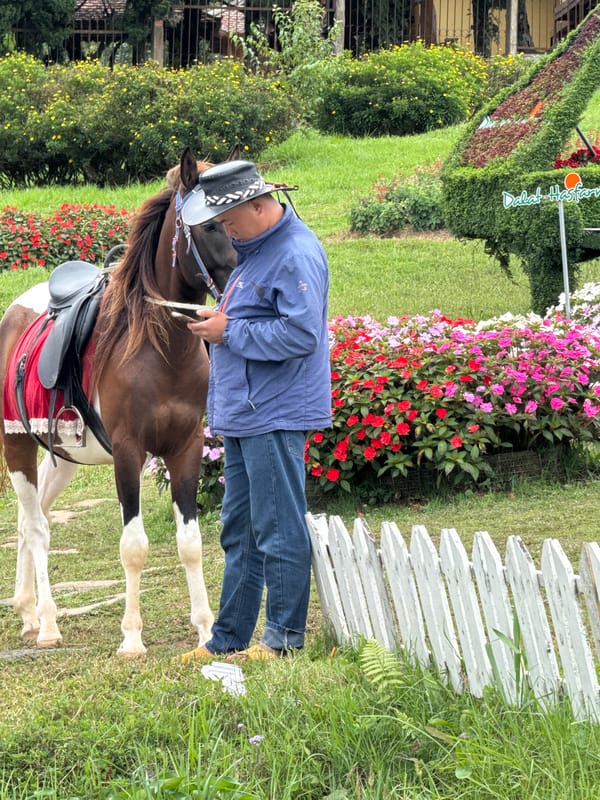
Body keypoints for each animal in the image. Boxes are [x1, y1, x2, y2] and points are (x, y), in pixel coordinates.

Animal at [0, 147, 237, 656]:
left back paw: (29, 612)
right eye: (210, 225)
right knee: (36, 527)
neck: (159, 346)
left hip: (62, 456)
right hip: (17, 445)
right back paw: (48, 623)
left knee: (33, 520)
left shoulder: (186, 448)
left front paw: (205, 628)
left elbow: (190, 543)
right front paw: (131, 637)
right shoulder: (129, 452)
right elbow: (134, 546)